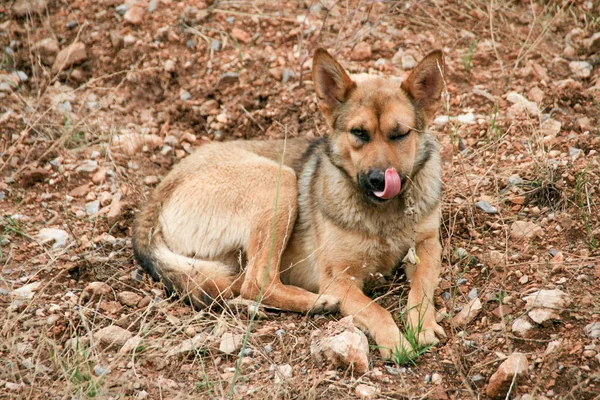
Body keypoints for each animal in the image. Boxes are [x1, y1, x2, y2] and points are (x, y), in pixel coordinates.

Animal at [134, 47, 448, 360]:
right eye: (359, 133)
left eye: (400, 134)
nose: (379, 180)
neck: (383, 213)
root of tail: (161, 190)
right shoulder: (338, 278)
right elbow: (376, 310)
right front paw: (395, 341)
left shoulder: (428, 245)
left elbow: (421, 288)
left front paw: (423, 325)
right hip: (279, 181)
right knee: (257, 282)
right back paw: (316, 302)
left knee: (233, 284)